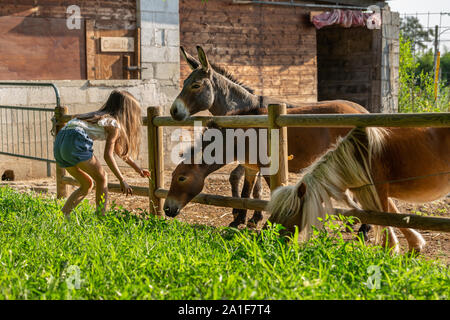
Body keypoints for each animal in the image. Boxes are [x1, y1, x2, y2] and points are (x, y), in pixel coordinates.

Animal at [266, 126, 448, 254]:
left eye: (289, 212)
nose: (266, 236)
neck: (359, 156)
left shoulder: (378, 192)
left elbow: (386, 220)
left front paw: (390, 251)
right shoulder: (378, 193)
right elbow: (395, 216)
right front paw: (415, 246)